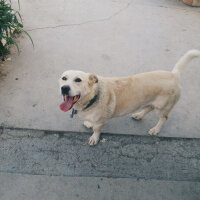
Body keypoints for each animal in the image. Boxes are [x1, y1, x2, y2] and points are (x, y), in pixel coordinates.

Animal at [59, 50, 200, 146]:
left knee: (163, 118)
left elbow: (96, 129)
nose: (64, 88)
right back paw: (139, 115)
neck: (93, 97)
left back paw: (155, 129)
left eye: (78, 80)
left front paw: (94, 137)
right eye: (64, 78)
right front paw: (89, 123)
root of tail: (174, 75)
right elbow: (91, 122)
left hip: (162, 108)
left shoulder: (100, 122)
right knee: (148, 108)